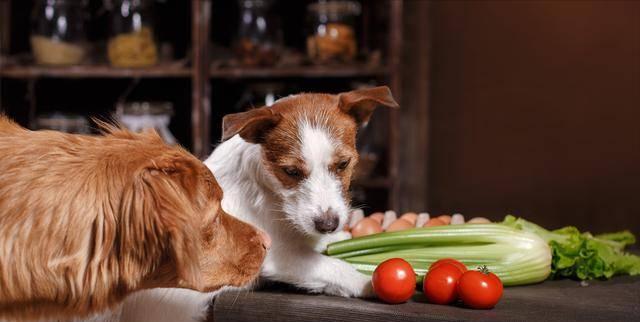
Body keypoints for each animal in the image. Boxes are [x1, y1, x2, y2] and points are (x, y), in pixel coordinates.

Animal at [120, 86, 398, 322]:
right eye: (291, 172)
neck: (270, 195)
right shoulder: (278, 256)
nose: (328, 225)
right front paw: (367, 281)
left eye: (343, 164)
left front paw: (339, 239)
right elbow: (331, 266)